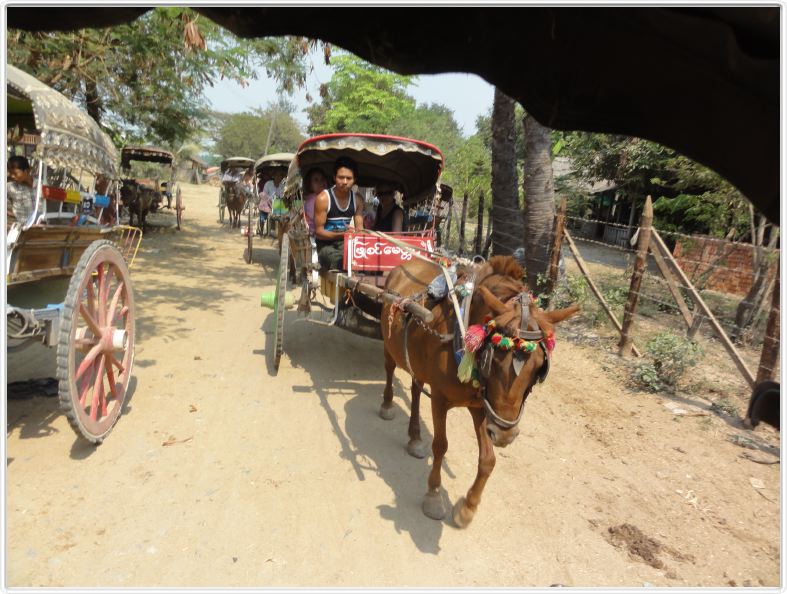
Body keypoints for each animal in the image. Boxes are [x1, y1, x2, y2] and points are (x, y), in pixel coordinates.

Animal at [382, 256, 580, 524]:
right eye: (493, 357)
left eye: (540, 367)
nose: (505, 435)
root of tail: (406, 263)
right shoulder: (441, 400)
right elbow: (441, 446)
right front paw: (434, 495)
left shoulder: (484, 407)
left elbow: (488, 459)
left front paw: (468, 507)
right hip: (388, 343)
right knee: (390, 369)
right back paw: (387, 405)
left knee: (415, 388)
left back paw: (415, 437)